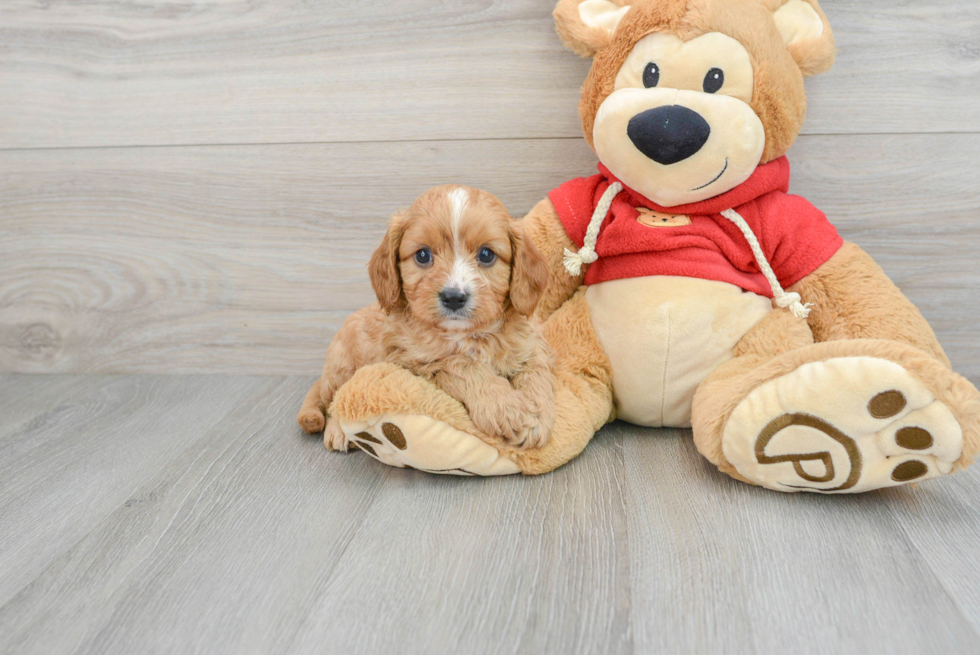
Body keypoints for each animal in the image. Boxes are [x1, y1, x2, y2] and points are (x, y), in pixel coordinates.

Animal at [294, 184, 556, 452]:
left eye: (486, 254)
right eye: (422, 255)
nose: (454, 297)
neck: (465, 333)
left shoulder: (530, 344)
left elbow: (537, 373)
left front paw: (537, 415)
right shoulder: (416, 362)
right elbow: (462, 365)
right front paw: (506, 409)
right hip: (341, 366)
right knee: (335, 400)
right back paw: (338, 431)